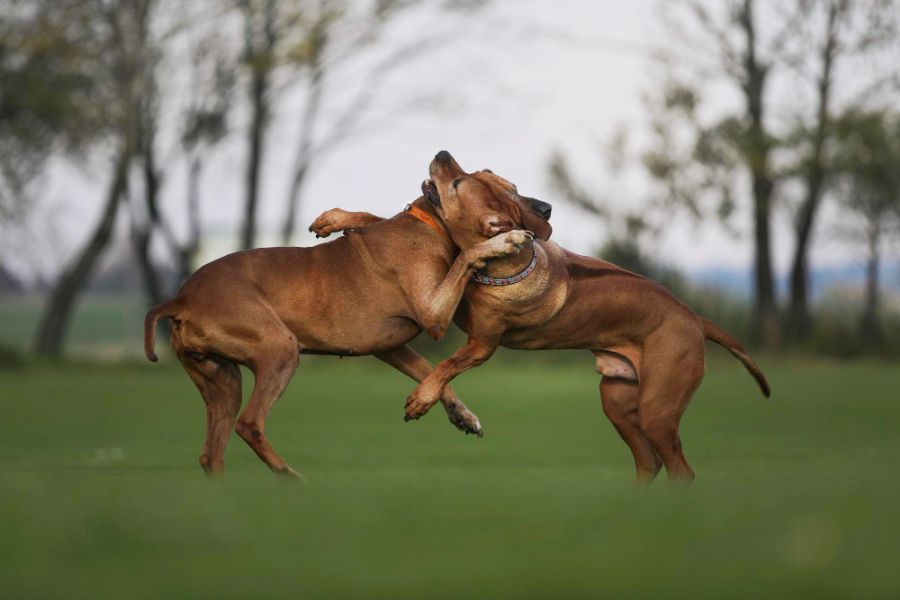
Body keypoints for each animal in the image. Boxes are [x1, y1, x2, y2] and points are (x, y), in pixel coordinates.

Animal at [145, 173, 548, 478]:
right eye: (504, 190)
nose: (547, 208)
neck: (428, 223)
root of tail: (181, 300)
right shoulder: (434, 313)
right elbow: (467, 257)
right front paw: (503, 242)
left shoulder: (391, 347)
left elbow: (429, 371)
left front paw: (458, 414)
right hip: (278, 350)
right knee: (249, 424)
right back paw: (290, 479)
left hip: (221, 380)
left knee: (211, 454)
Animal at [324, 150, 768, 482]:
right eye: (475, 173)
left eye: (458, 182)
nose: (443, 152)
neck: (496, 266)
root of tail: (695, 318)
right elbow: (380, 221)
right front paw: (336, 219)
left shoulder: (480, 343)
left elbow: (449, 363)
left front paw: (422, 398)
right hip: (617, 398)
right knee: (649, 461)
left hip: (659, 405)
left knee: (679, 468)